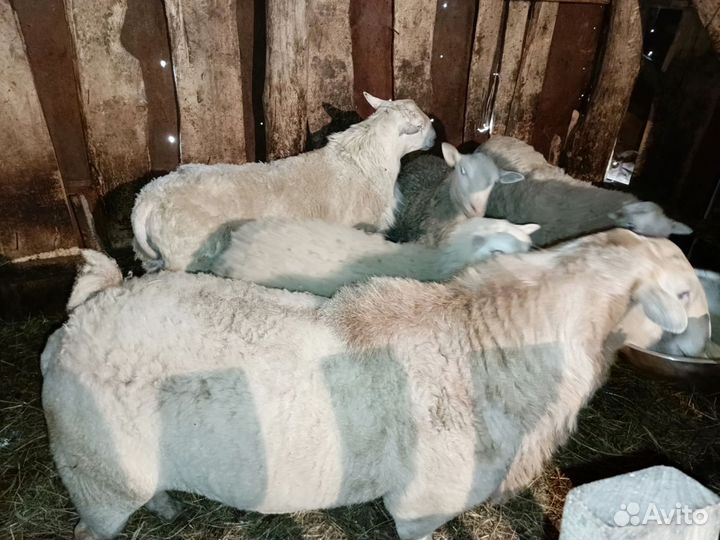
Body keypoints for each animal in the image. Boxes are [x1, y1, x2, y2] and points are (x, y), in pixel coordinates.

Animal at [42, 230, 709, 540]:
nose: (704, 344)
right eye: (681, 295)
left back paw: (166, 504)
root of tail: (83, 315)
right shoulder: (422, 505)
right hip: (96, 476)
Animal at [131, 92, 435, 272]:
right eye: (420, 126)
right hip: (185, 255)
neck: (367, 160)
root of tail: (148, 198)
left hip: (153, 256)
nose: (435, 138)